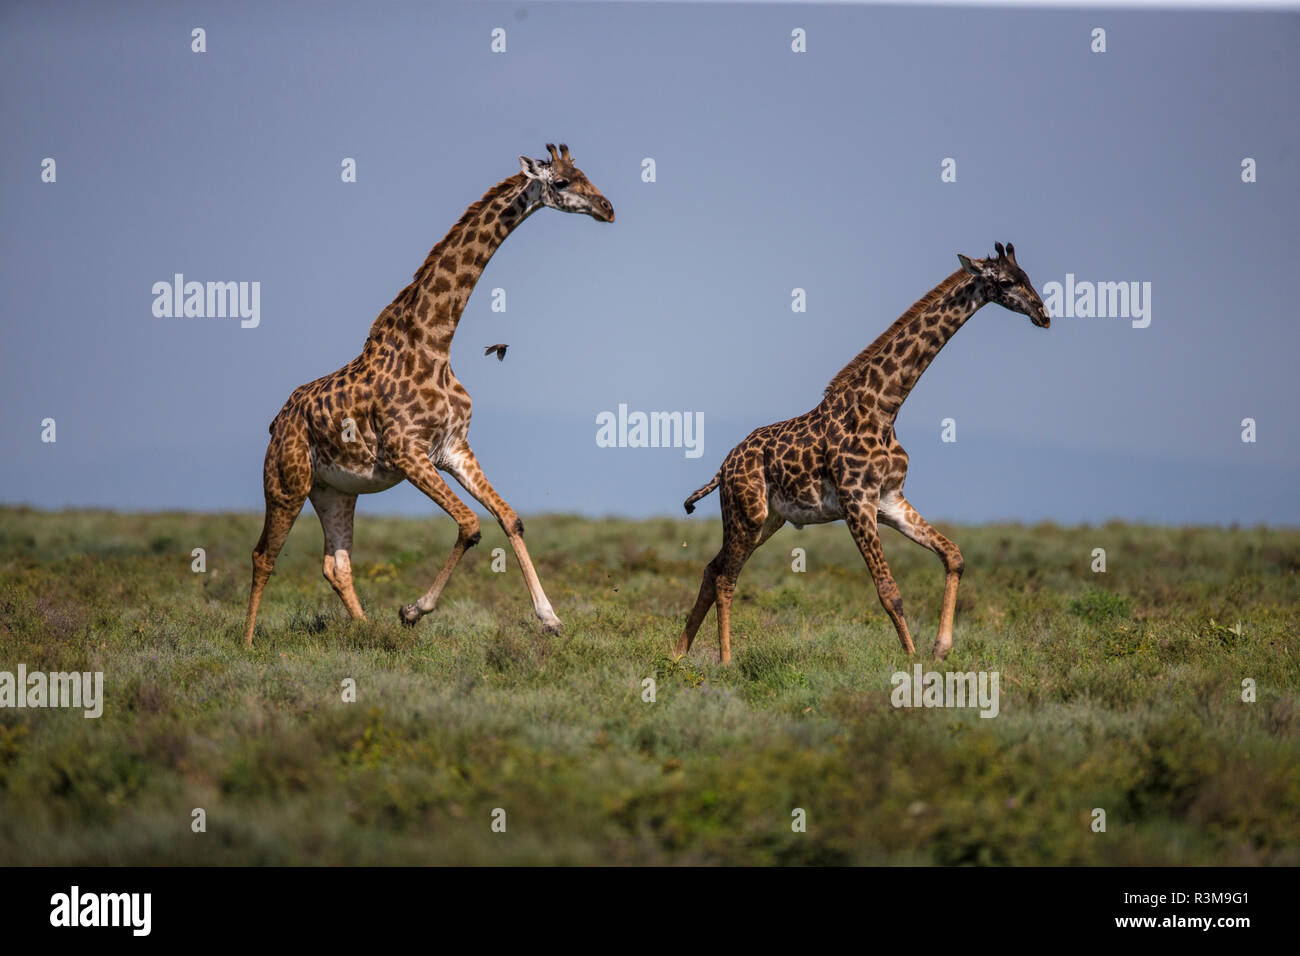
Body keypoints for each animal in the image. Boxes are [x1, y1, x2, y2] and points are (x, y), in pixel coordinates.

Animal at [244, 143, 613, 650]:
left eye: (586, 174)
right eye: (560, 182)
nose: (607, 208)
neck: (434, 342)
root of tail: (277, 420)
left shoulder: (453, 448)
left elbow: (509, 518)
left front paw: (551, 618)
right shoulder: (407, 453)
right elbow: (471, 525)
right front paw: (412, 611)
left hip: (335, 490)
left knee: (336, 564)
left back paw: (368, 631)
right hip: (287, 481)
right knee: (263, 555)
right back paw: (247, 643)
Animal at [676, 240, 1050, 665]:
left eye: (1027, 277)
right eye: (1005, 282)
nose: (1043, 314)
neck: (883, 408)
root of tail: (723, 468)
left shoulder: (889, 500)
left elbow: (953, 555)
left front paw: (940, 647)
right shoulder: (857, 503)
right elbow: (889, 592)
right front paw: (912, 658)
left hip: (769, 520)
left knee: (712, 569)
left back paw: (678, 654)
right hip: (748, 515)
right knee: (726, 577)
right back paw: (725, 660)